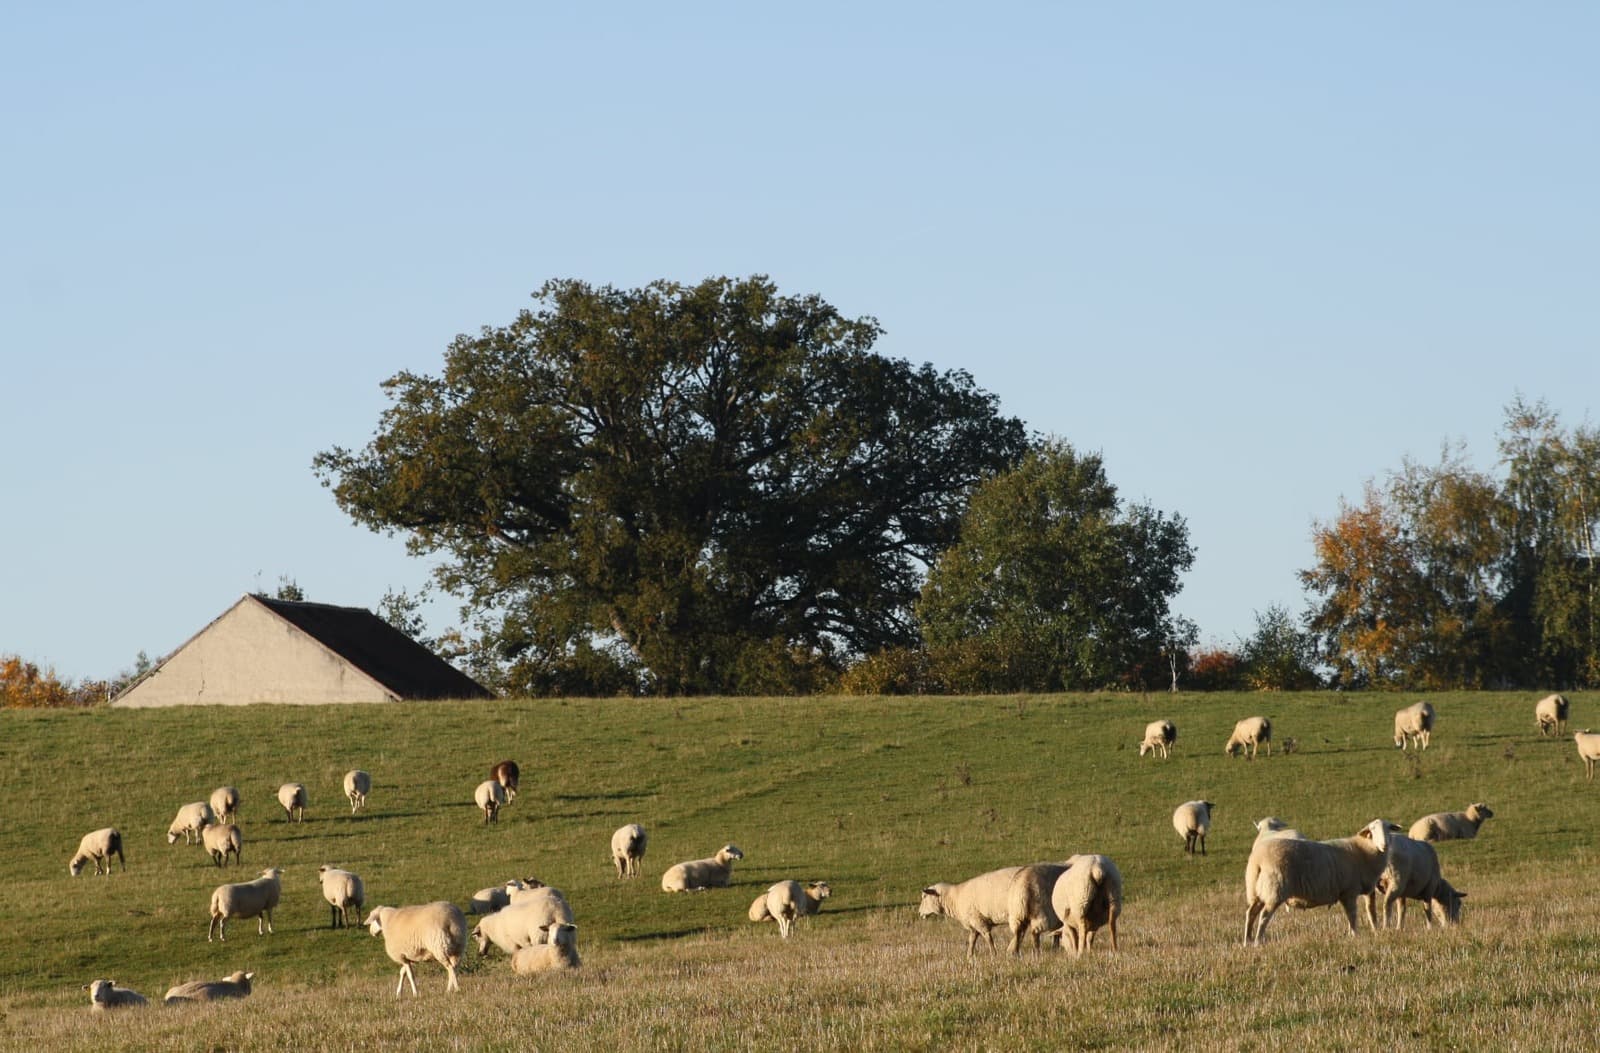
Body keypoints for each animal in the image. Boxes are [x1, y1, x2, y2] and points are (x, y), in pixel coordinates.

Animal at [1243, 818, 1400, 946]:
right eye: (1372, 829)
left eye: (1388, 828)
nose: (1385, 844)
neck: (1362, 851)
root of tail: (1258, 860)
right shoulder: (1349, 891)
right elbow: (1352, 914)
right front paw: (1356, 935)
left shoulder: (1346, 893)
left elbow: (1351, 915)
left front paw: (1351, 934)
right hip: (1274, 890)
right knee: (1263, 916)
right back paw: (1257, 942)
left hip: (1256, 891)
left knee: (1251, 913)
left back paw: (1247, 941)